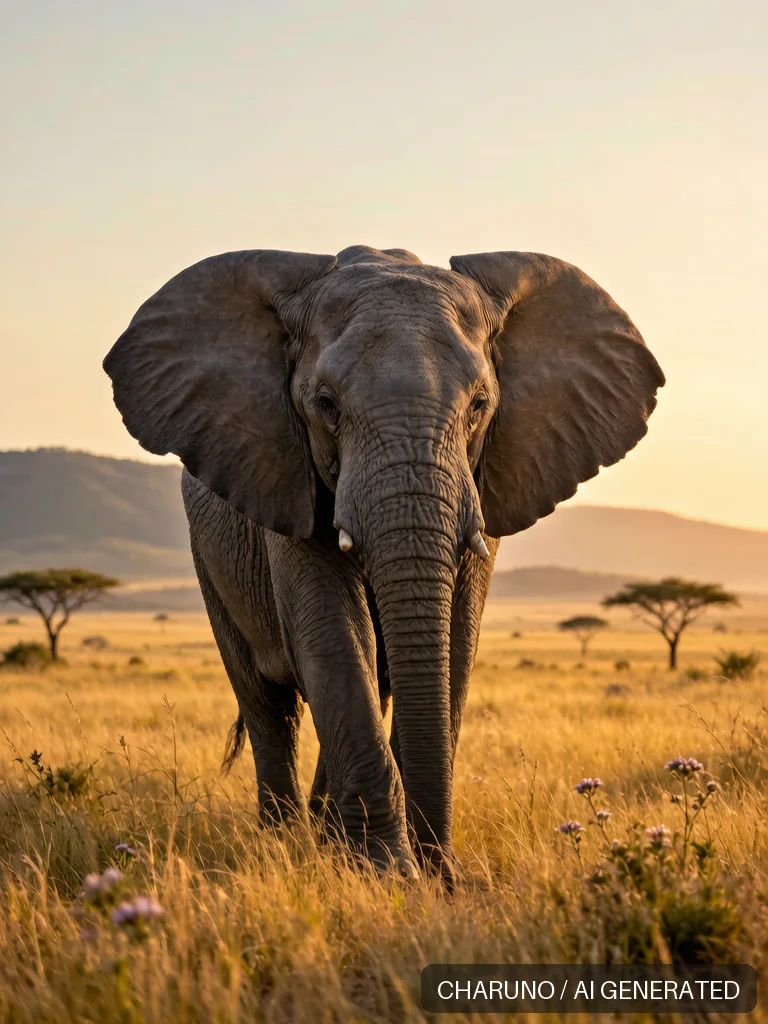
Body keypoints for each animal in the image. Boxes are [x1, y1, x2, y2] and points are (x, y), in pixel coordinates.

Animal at [104, 244, 664, 883]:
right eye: (325, 404)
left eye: (480, 405)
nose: (443, 871)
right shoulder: (287, 477)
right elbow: (334, 634)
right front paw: (390, 874)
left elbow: (454, 641)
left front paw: (411, 871)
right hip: (209, 561)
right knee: (267, 703)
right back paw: (283, 842)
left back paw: (325, 837)